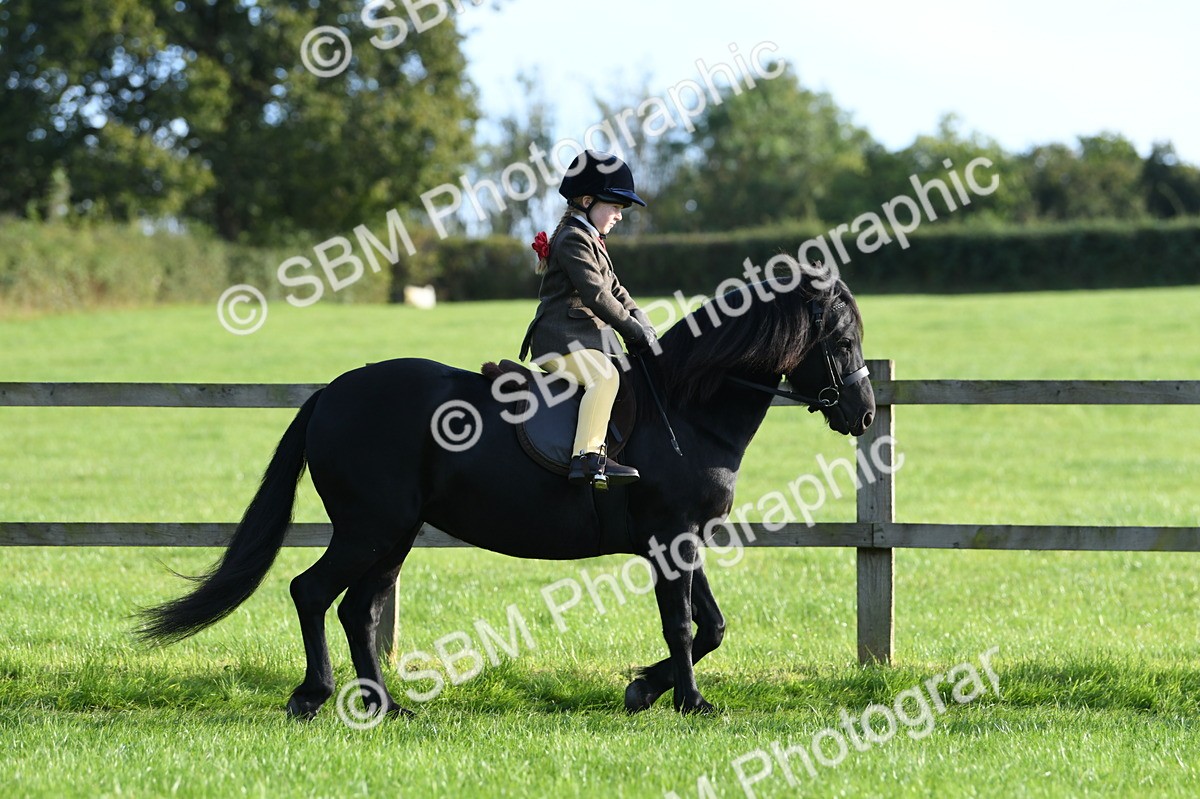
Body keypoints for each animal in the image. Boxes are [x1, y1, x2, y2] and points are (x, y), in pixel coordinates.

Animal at [137, 272, 875, 717]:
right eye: (841, 340)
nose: (864, 413)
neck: (688, 407)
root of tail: (333, 393)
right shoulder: (672, 537)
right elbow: (685, 625)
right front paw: (689, 703)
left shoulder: (683, 540)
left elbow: (711, 626)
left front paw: (644, 687)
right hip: (370, 529)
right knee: (312, 593)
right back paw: (314, 696)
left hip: (392, 535)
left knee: (359, 611)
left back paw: (386, 705)